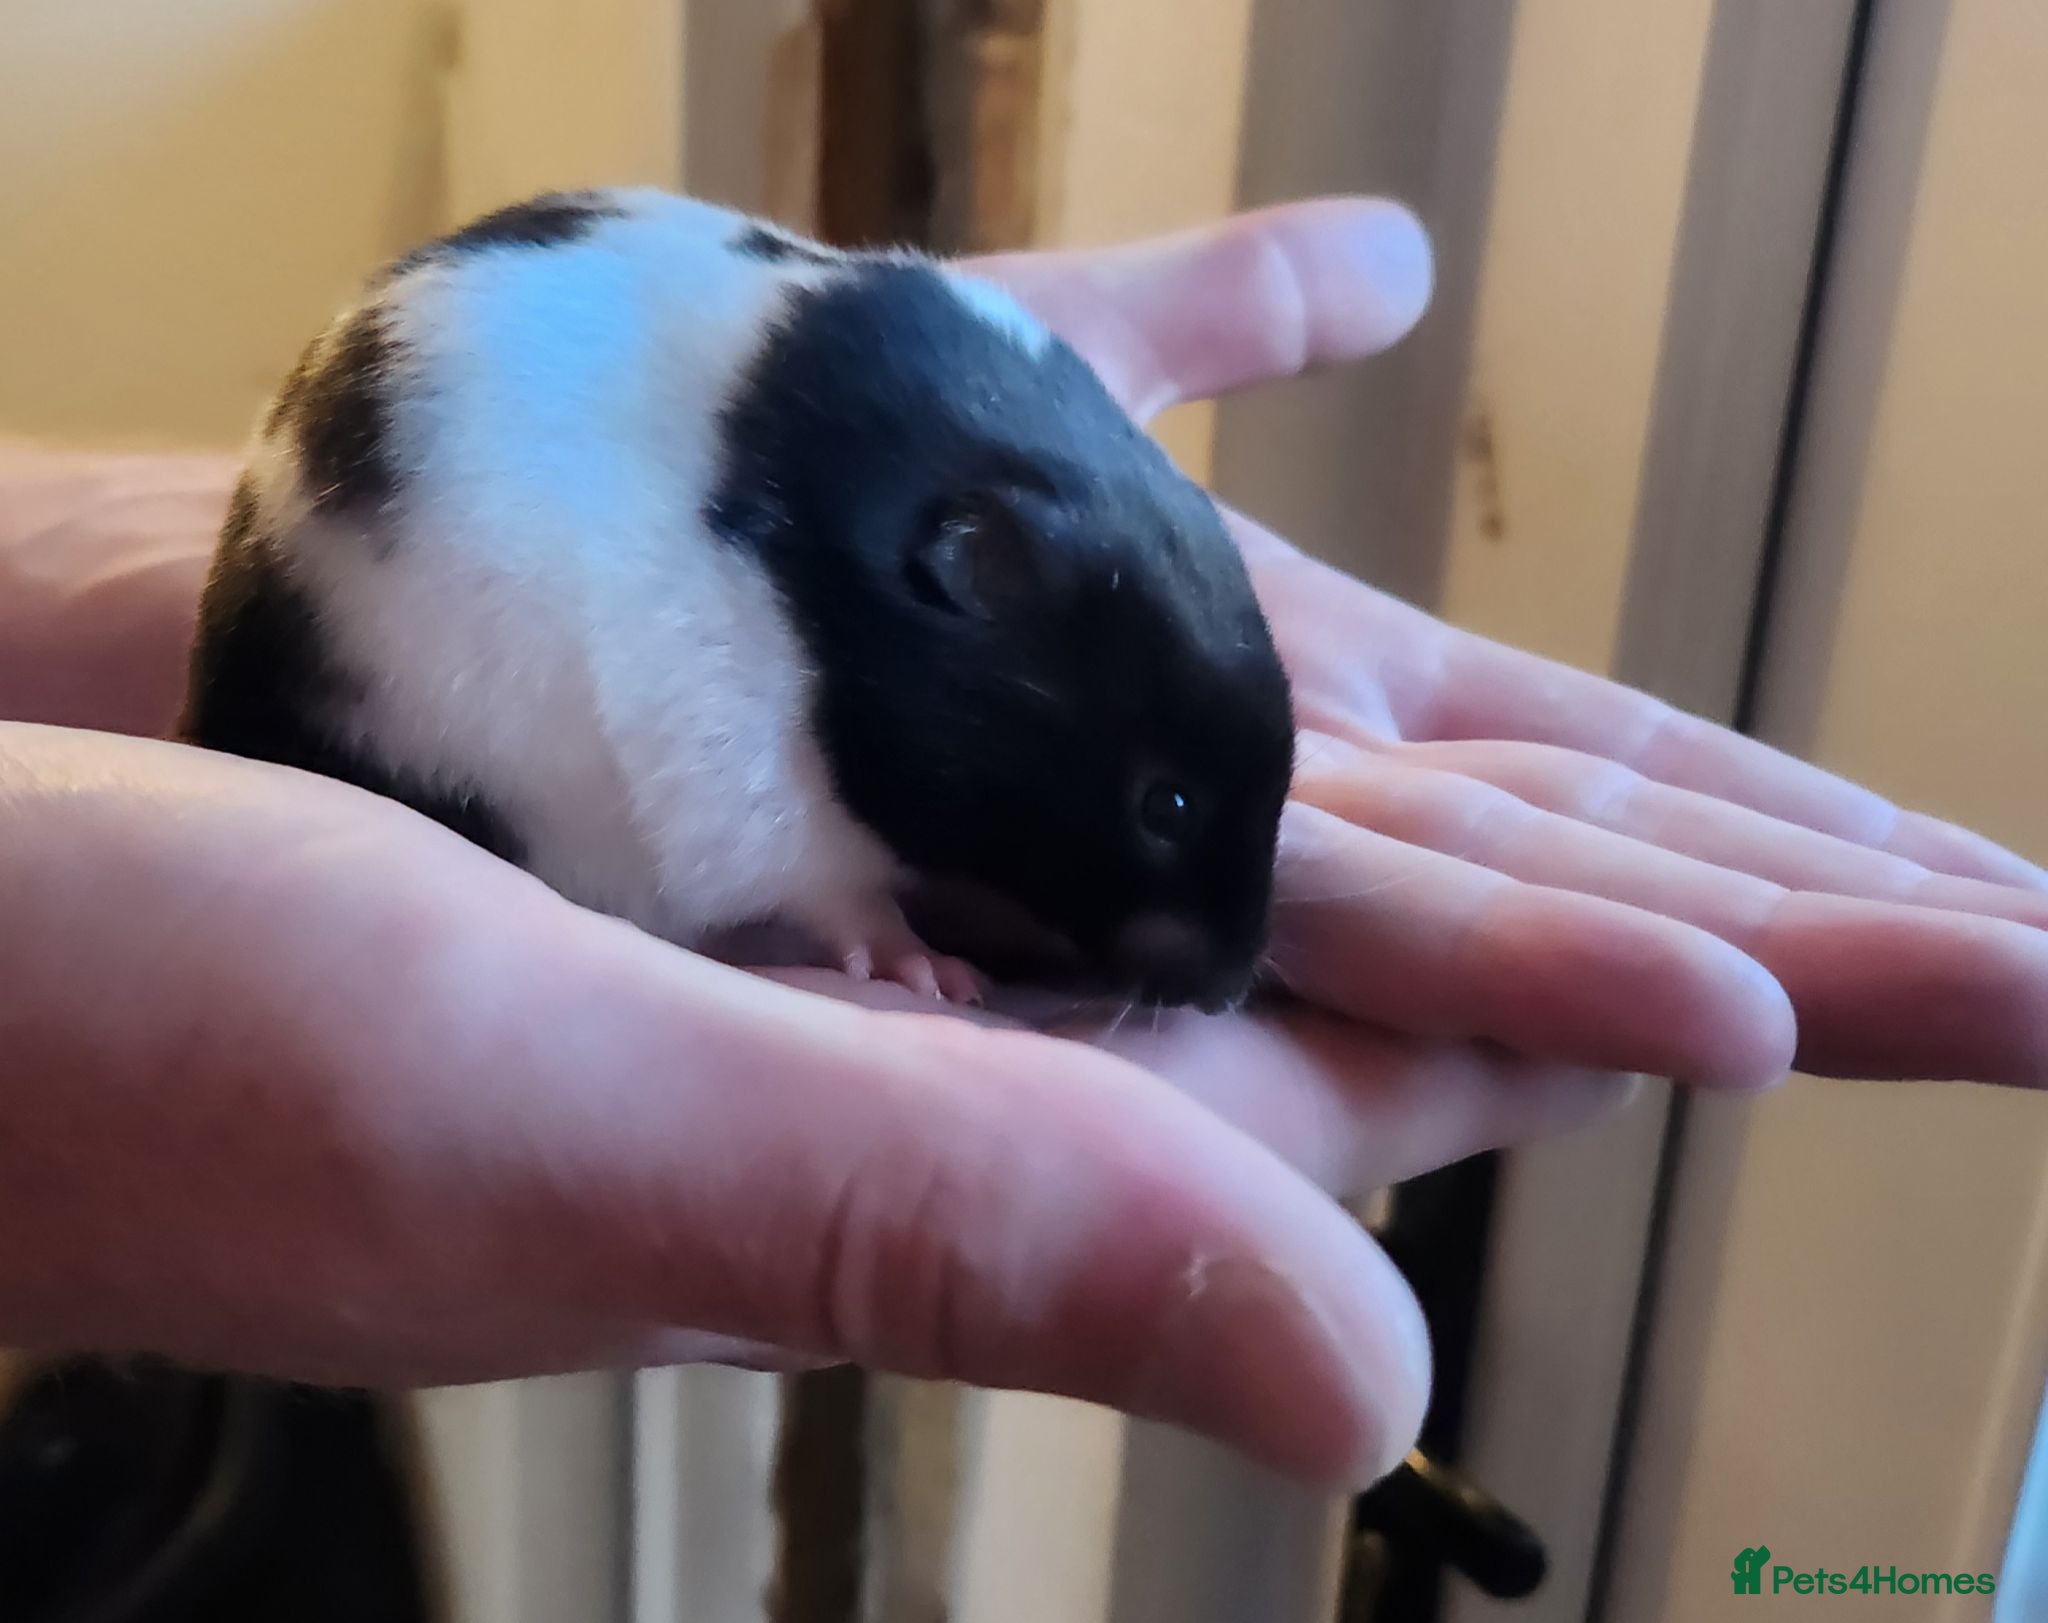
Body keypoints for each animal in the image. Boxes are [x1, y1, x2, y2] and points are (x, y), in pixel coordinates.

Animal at [180, 188, 1294, 1013]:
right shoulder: (751, 800)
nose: (1227, 991)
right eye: (1165, 805)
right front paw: (939, 974)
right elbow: (847, 900)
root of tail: (216, 714)